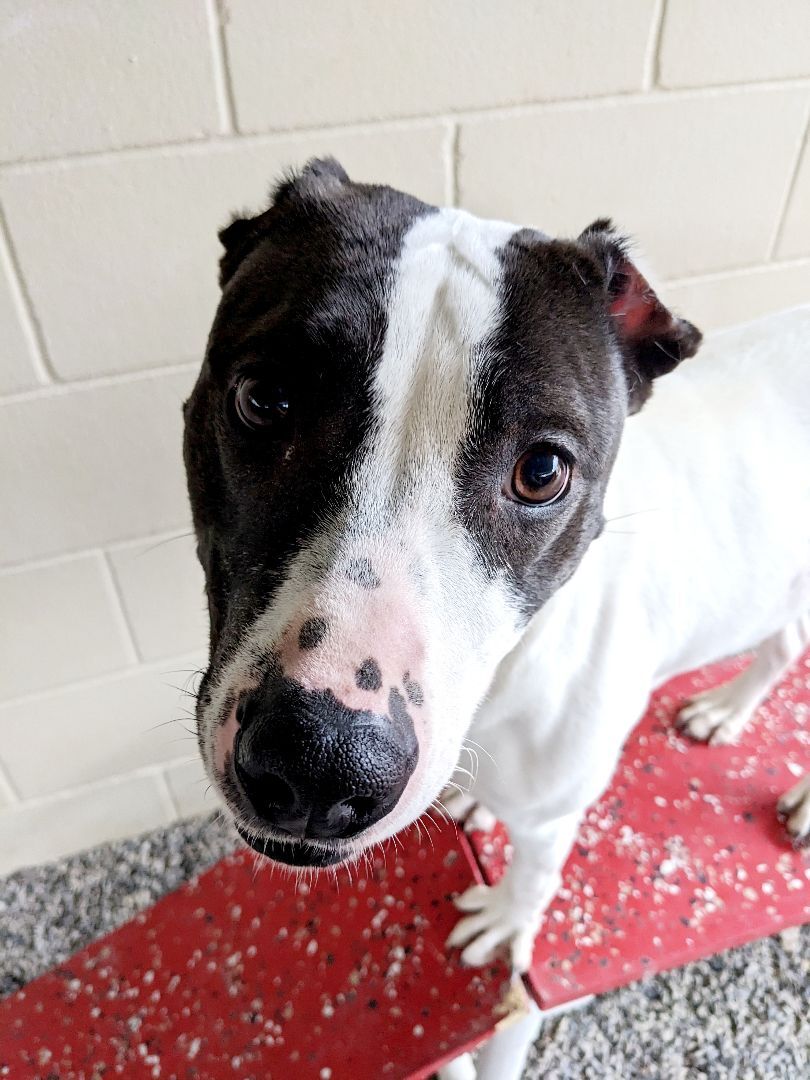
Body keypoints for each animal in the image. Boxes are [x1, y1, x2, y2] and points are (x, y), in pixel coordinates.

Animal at [183, 156, 810, 989]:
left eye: (542, 471)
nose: (321, 761)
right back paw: (728, 709)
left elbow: (536, 875)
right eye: (264, 399)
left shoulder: (554, 813)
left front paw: (507, 921)